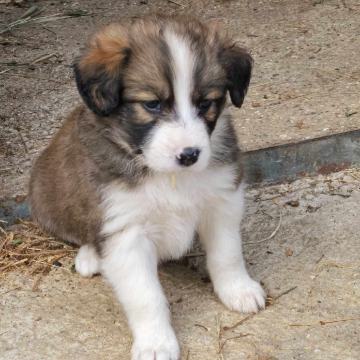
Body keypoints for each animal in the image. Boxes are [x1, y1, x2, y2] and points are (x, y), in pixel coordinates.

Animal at [29, 16, 266, 360]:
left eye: (205, 103)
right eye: (152, 104)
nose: (189, 155)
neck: (167, 175)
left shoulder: (222, 200)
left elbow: (227, 254)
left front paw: (238, 289)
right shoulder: (125, 230)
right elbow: (146, 296)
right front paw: (156, 342)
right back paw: (90, 257)